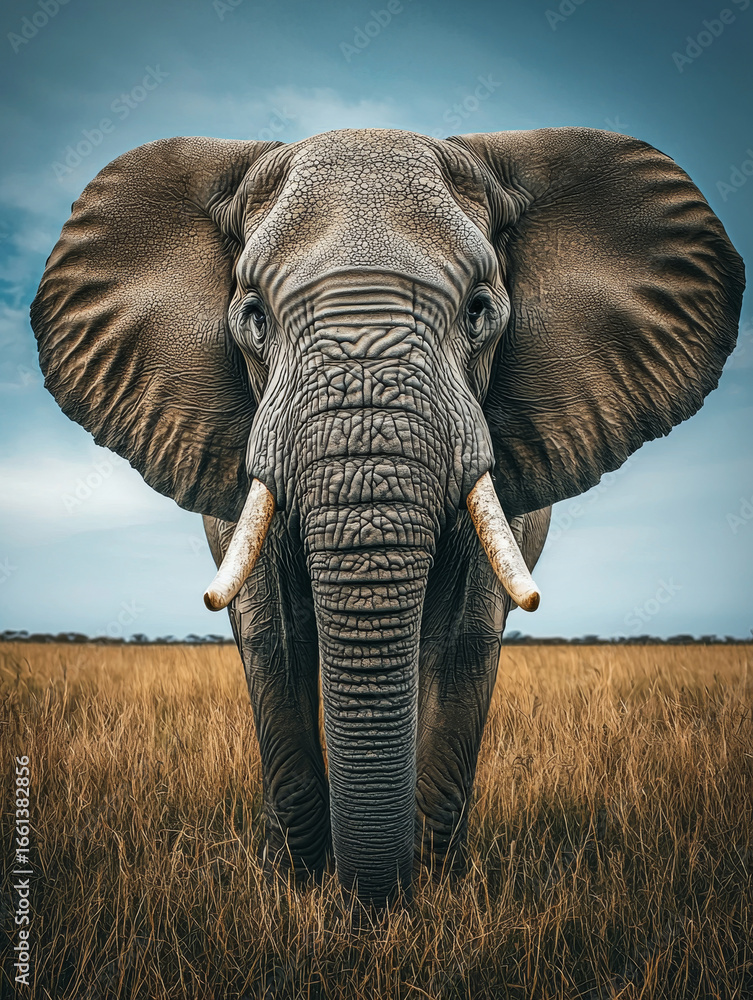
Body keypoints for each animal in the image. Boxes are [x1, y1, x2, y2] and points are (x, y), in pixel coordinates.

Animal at [31, 127, 744, 907]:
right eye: (253, 317)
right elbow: (275, 640)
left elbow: (463, 639)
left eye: (479, 311)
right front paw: (298, 887)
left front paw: (428, 892)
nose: (367, 898)